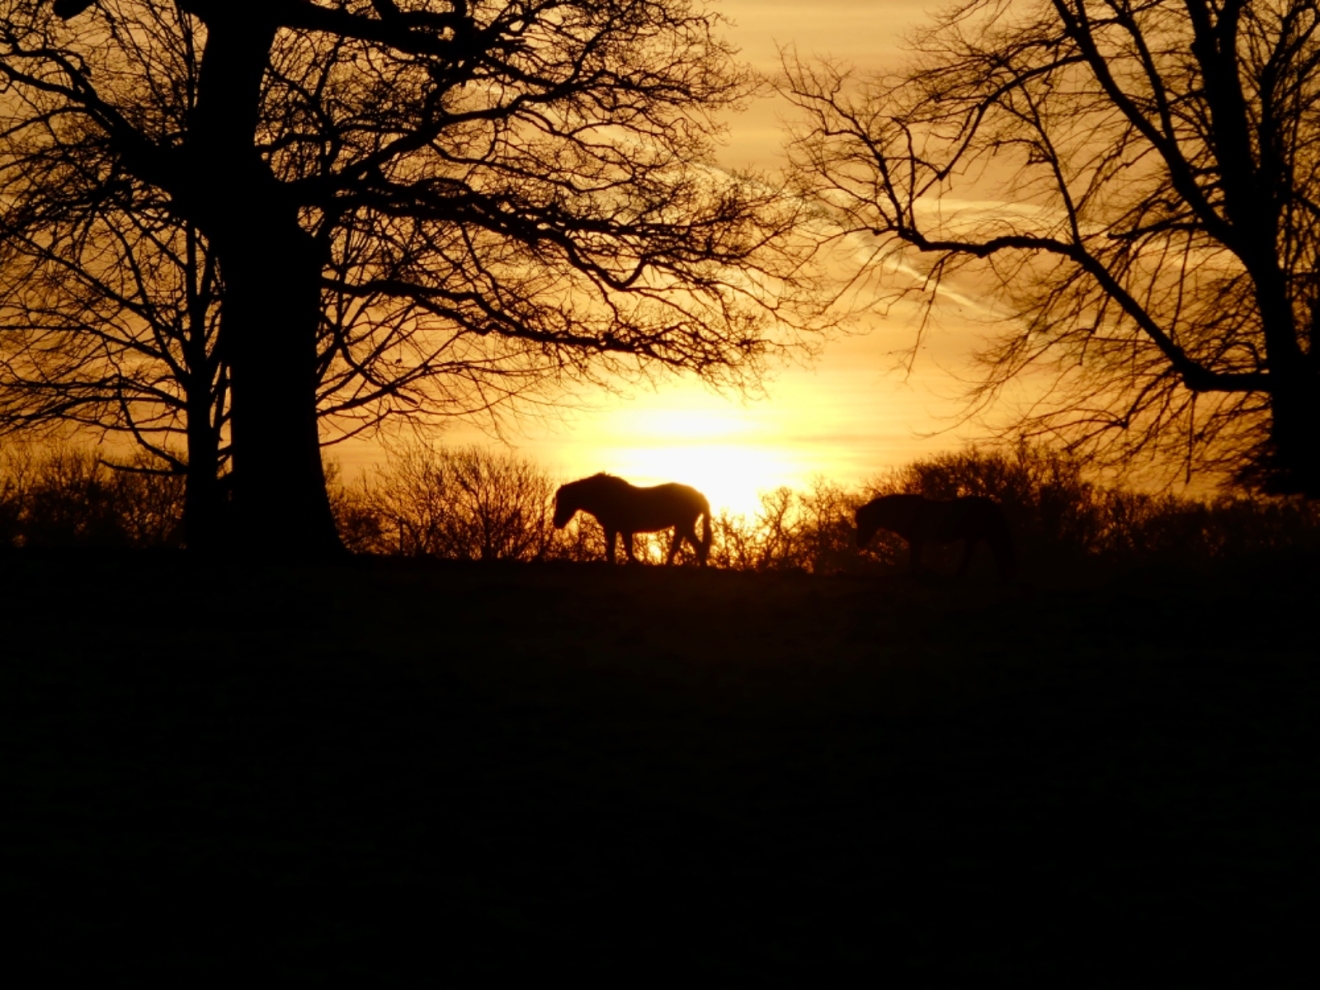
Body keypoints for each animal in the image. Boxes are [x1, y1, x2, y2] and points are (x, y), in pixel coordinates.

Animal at [553, 473, 712, 566]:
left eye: (563, 501)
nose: (556, 522)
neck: (605, 496)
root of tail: (699, 495)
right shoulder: (617, 530)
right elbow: (615, 550)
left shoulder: (618, 529)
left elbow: (623, 550)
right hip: (682, 526)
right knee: (684, 547)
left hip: (685, 525)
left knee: (696, 547)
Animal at [855, 493, 1017, 579]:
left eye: (863, 522)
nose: (859, 543)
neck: (902, 510)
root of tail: (992, 505)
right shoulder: (916, 542)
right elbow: (915, 561)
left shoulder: (917, 541)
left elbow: (914, 561)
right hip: (978, 537)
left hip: (983, 536)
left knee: (992, 553)